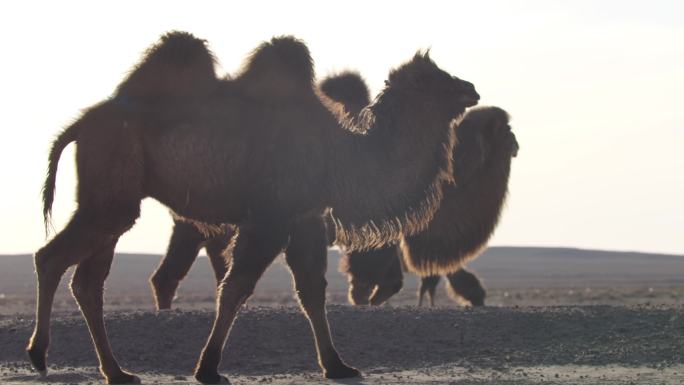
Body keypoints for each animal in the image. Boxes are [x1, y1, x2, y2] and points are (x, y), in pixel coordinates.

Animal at [25, 31, 476, 382]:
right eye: (430, 79)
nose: (471, 89)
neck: (339, 154)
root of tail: (78, 125)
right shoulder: (269, 216)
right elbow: (236, 286)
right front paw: (207, 367)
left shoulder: (304, 217)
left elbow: (312, 291)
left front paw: (337, 365)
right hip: (112, 192)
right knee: (52, 258)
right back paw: (40, 355)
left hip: (109, 200)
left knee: (88, 280)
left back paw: (116, 372)